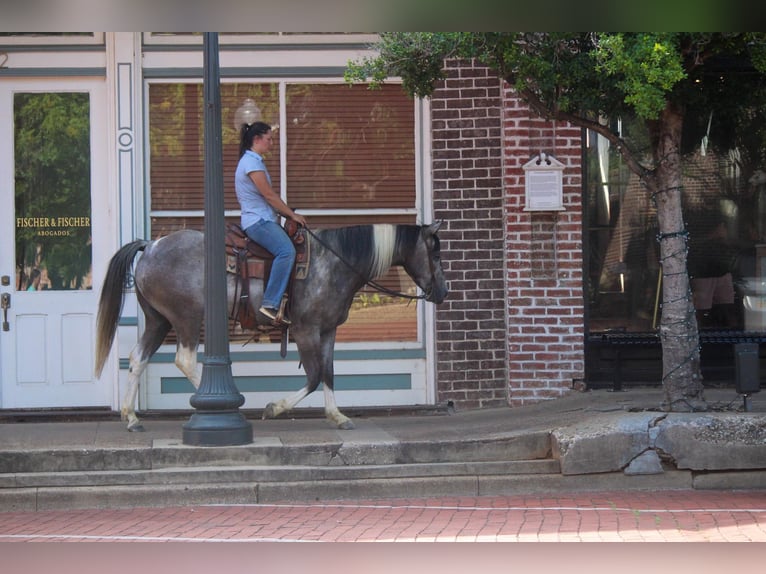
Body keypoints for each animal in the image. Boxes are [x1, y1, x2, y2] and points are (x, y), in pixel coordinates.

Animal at [94, 224, 450, 432]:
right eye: (435, 252)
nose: (444, 291)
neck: (334, 261)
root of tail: (150, 245)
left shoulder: (328, 331)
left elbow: (329, 374)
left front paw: (337, 415)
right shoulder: (306, 330)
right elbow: (314, 376)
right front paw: (274, 408)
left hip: (159, 320)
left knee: (138, 358)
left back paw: (131, 417)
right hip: (187, 317)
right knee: (184, 359)